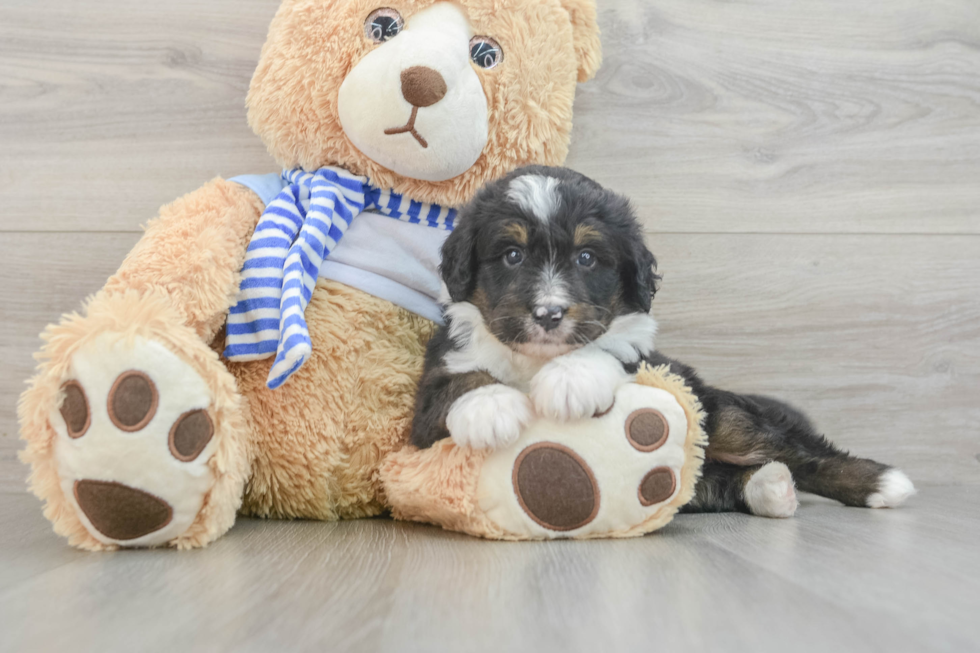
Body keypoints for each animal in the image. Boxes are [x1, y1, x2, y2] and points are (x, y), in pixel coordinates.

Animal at [410, 166, 916, 516]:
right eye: (512, 255)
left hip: (723, 413)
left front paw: (570, 382)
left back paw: (880, 483)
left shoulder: (648, 365)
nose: (549, 314)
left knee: (796, 449)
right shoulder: (423, 416)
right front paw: (490, 407)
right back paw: (771, 489)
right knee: (715, 480)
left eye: (587, 257)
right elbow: (458, 384)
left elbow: (607, 352)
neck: (535, 361)